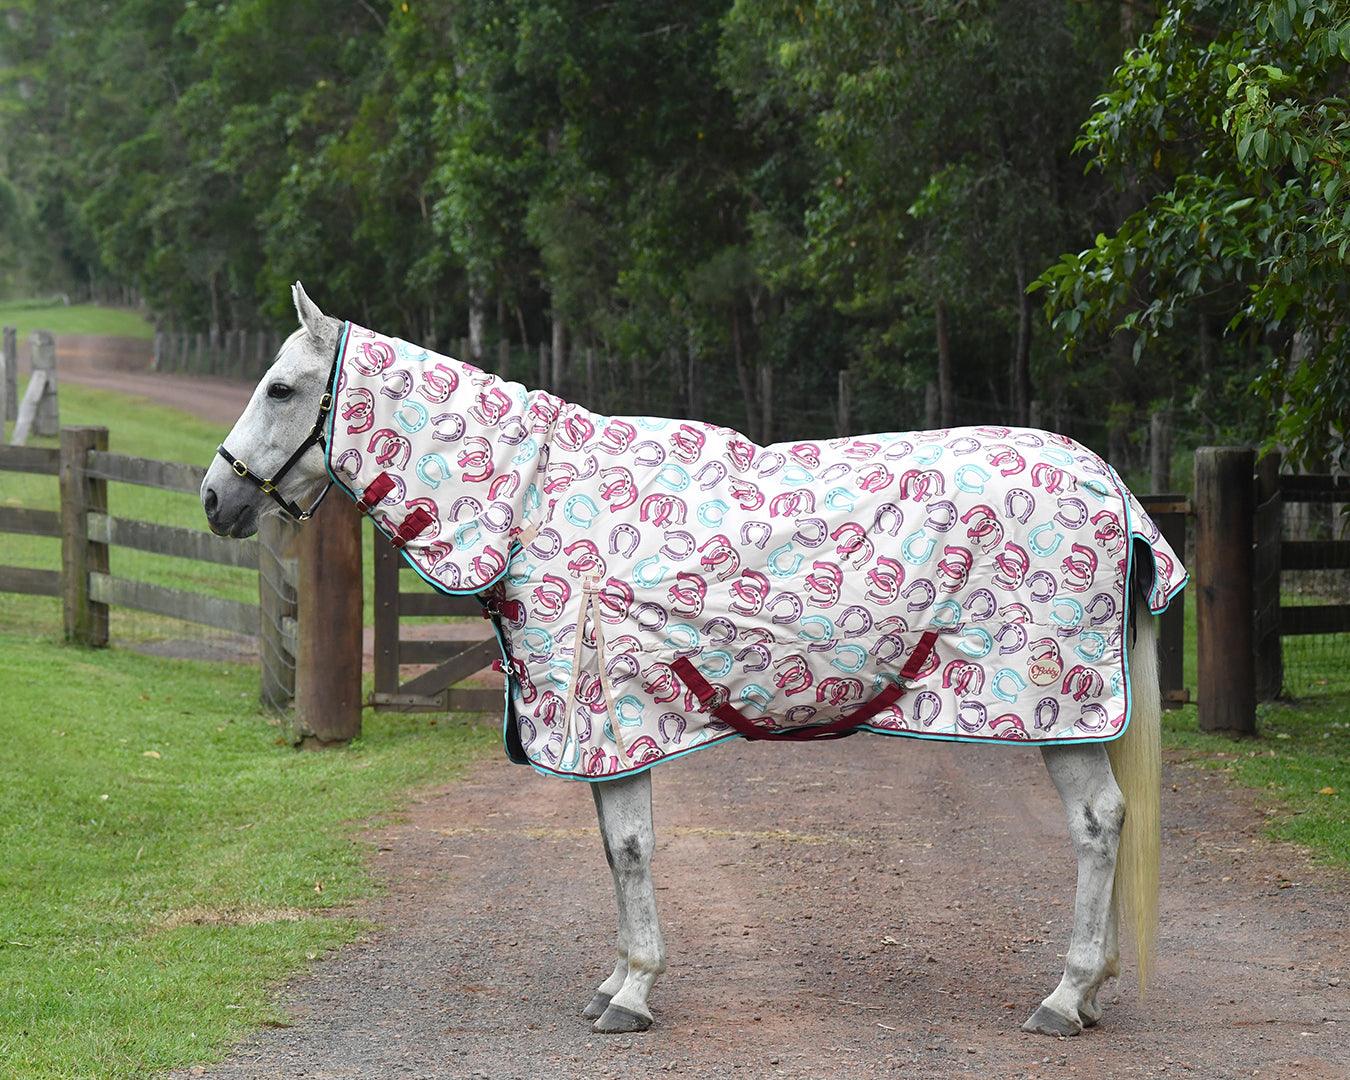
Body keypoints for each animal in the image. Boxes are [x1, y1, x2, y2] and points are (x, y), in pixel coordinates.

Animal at [202, 283, 1181, 1038]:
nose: (215, 498)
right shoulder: (605, 732)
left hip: (1065, 713)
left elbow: (631, 849)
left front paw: (633, 991)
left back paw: (1066, 997)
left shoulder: (612, 718)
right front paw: (615, 979)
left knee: (1098, 825)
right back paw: (1089, 994)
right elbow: (611, 851)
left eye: (282, 388)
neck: (538, 501)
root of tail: (1111, 484)